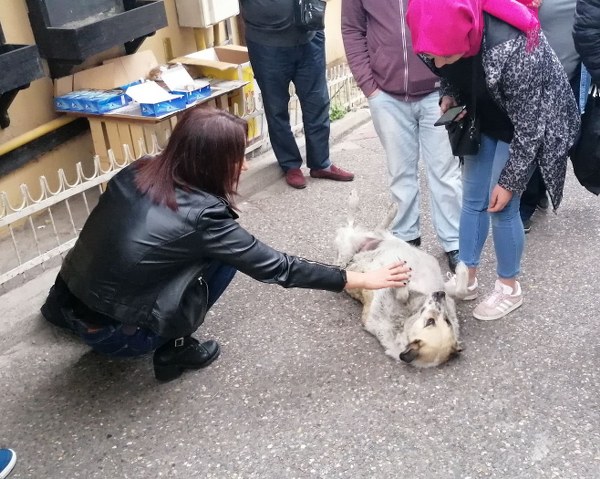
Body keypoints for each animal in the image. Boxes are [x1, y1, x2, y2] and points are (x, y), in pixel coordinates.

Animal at [336, 191, 466, 368]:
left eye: (446, 321)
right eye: (430, 322)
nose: (439, 294)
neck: (407, 317)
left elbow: (458, 290)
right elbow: (459, 290)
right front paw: (463, 268)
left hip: (356, 248)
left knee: (366, 226)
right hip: (347, 254)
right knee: (359, 223)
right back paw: (362, 201)